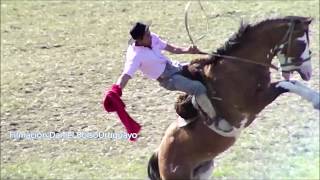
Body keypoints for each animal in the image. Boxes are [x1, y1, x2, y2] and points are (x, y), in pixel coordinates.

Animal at [149, 16, 314, 179]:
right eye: (302, 43)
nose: (308, 73)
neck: (239, 67)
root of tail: (158, 155)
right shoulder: (253, 105)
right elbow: (286, 84)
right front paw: (316, 101)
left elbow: (291, 83)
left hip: (204, 170)